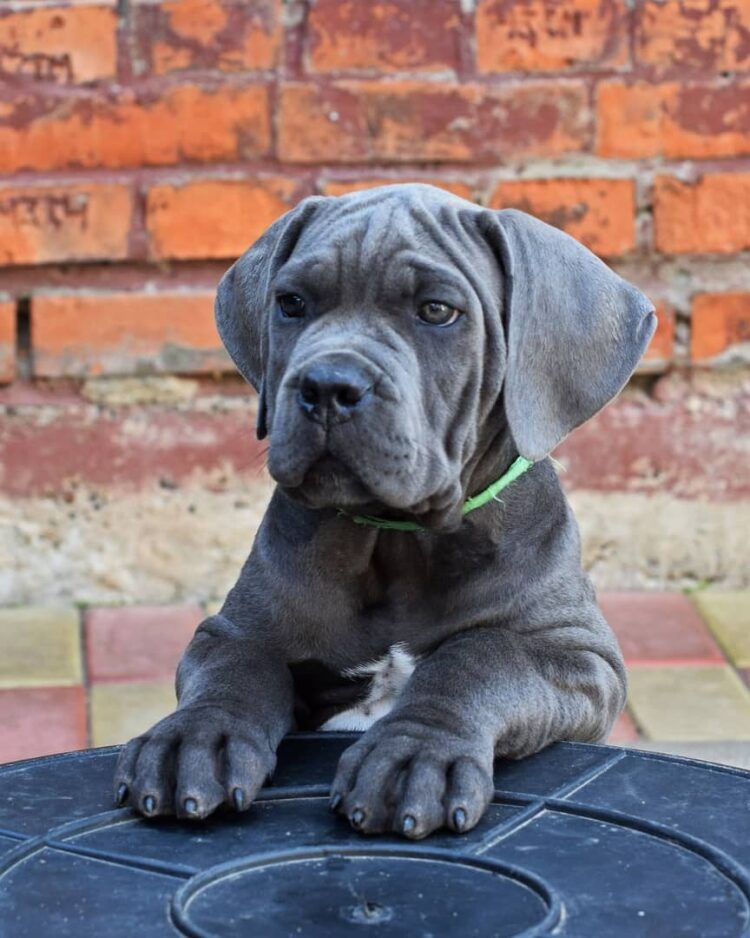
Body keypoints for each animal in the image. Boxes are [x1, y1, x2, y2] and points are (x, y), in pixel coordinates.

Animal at [113, 181, 656, 832]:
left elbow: (482, 655)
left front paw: (415, 752)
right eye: (291, 303)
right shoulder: (233, 630)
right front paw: (196, 738)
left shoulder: (579, 656)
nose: (327, 385)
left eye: (437, 311)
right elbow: (235, 668)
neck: (397, 539)